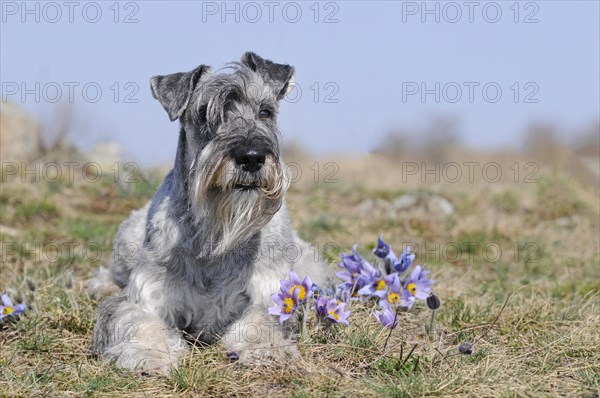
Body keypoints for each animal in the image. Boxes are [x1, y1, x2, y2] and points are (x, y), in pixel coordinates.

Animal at [88, 52, 328, 374]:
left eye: (265, 112)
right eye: (204, 114)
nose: (252, 157)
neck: (215, 233)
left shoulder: (269, 294)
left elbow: (260, 320)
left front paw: (265, 350)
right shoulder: (147, 295)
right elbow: (137, 319)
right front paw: (148, 353)